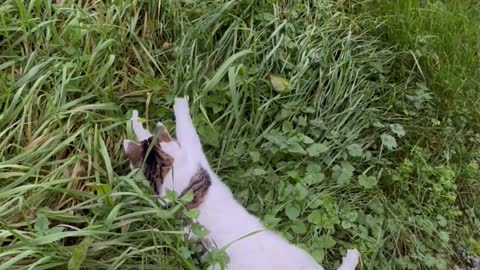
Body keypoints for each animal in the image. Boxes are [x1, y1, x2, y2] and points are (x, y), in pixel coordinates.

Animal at [124, 97, 360, 270]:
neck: (170, 182)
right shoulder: (193, 157)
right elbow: (186, 129)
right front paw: (179, 103)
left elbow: (147, 136)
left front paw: (135, 119)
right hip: (303, 257)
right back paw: (352, 256)